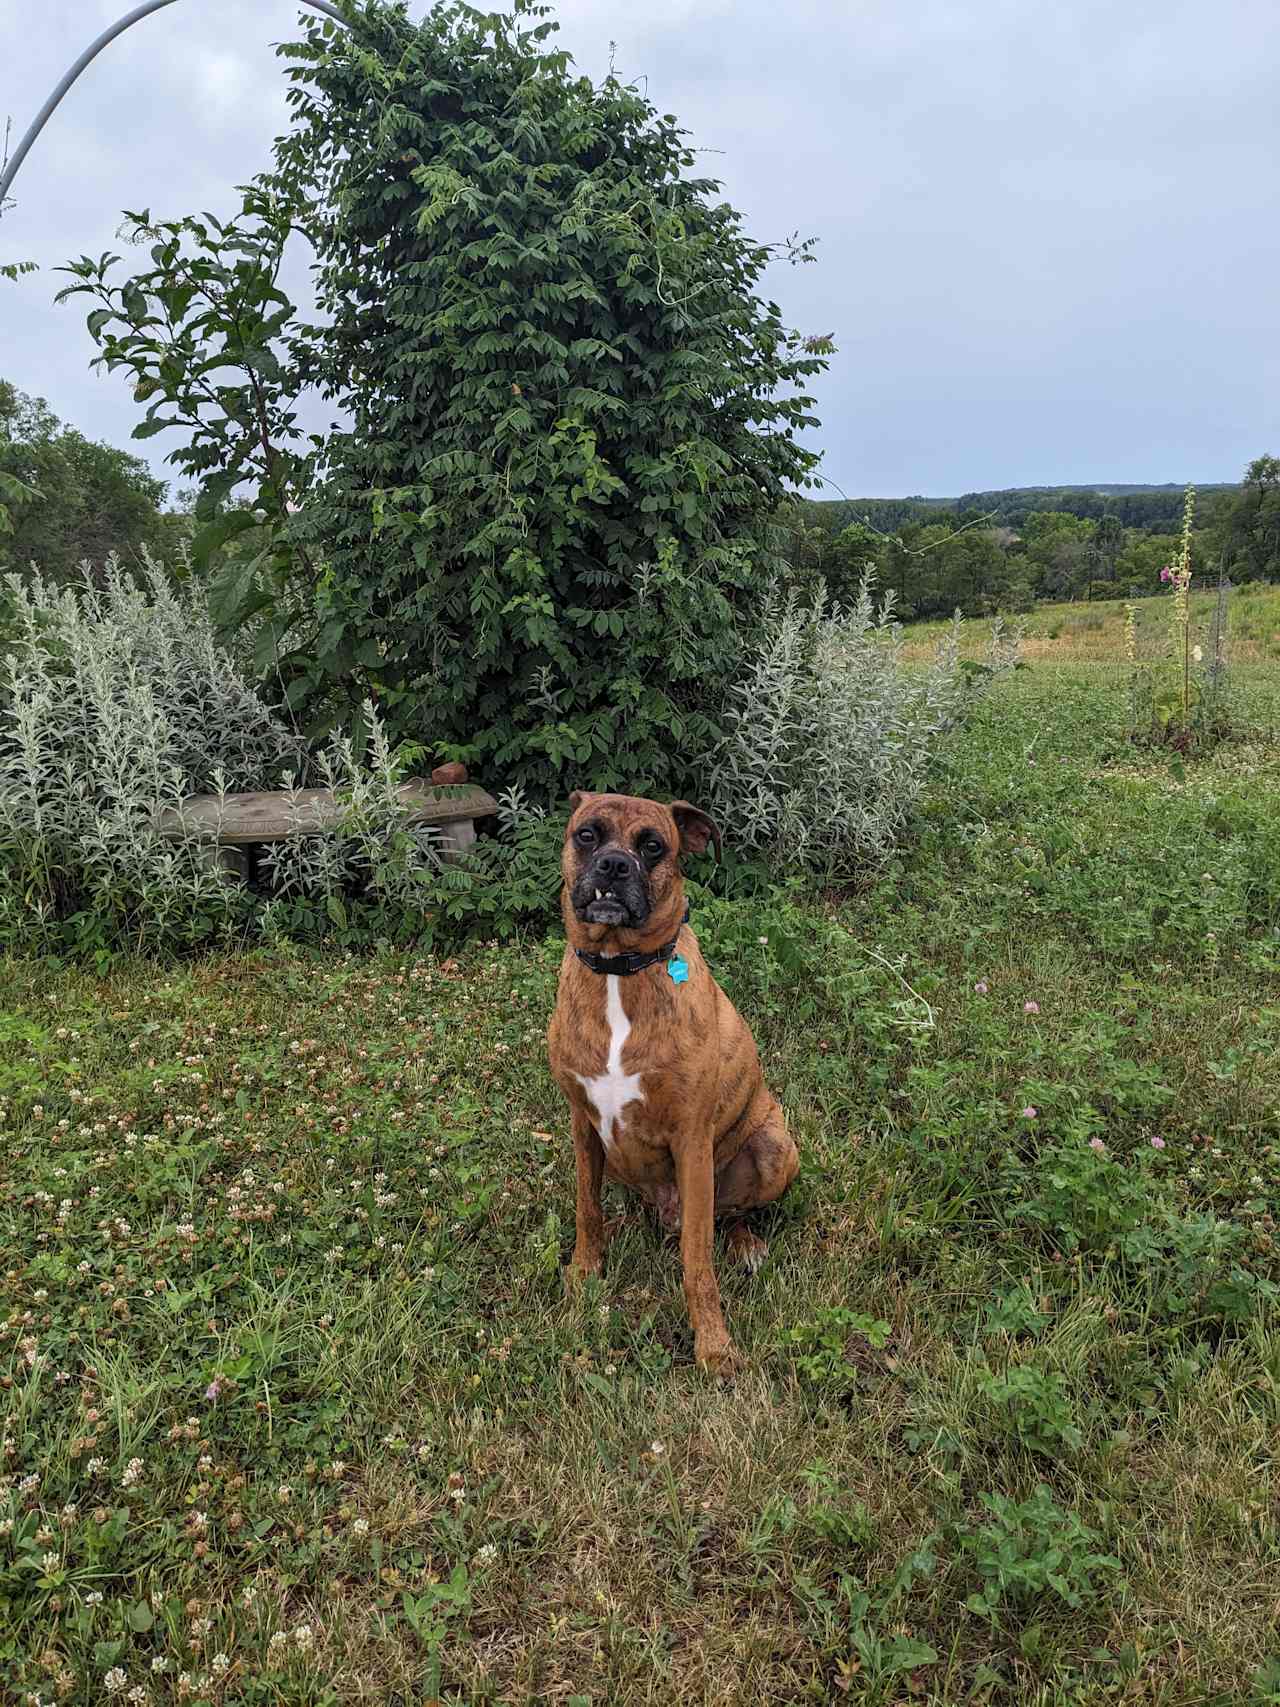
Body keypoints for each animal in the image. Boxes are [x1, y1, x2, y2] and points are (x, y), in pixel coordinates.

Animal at [546, 788, 798, 1372]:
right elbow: (586, 1209)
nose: (614, 866)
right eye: (587, 834)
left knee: (729, 1216)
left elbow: (697, 1263)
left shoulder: (690, 1140)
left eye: (653, 846)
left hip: (774, 1147)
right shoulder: (583, 1126)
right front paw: (584, 1272)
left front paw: (713, 1345)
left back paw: (746, 1244)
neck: (618, 972)